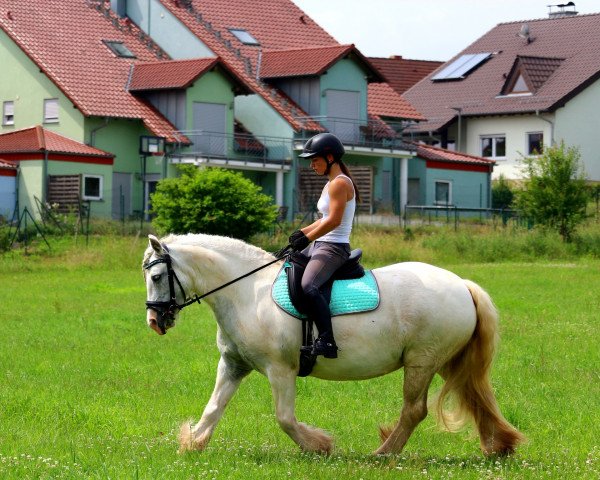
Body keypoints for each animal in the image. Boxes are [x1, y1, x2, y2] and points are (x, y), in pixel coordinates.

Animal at [143, 234, 524, 456]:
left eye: (157, 276)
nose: (155, 322)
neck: (248, 292)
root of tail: (462, 284)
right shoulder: (233, 365)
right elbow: (214, 408)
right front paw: (192, 443)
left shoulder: (280, 370)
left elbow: (284, 418)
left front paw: (321, 446)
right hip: (445, 362)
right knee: (475, 397)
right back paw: (498, 447)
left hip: (422, 362)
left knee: (415, 411)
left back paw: (383, 455)